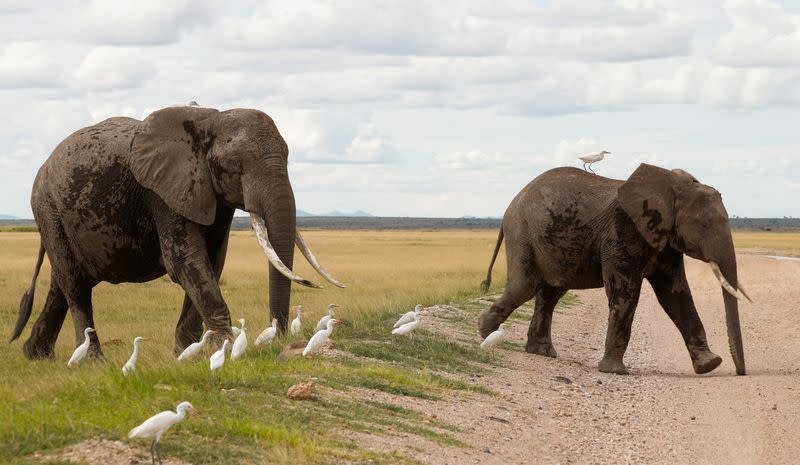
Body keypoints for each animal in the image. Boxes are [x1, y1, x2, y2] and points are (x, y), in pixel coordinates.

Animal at [10, 106, 340, 358]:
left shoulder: (212, 195)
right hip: (47, 206)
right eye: (235, 167)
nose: (280, 336)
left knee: (63, 283)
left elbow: (212, 262)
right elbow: (185, 261)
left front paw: (187, 354)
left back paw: (35, 355)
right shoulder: (163, 193)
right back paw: (92, 361)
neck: (209, 121)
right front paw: (222, 349)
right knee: (75, 284)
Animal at [482, 165, 752, 376]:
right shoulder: (622, 231)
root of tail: (510, 206)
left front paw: (710, 365)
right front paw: (615, 371)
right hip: (523, 233)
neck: (670, 187)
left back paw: (541, 352)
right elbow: (625, 293)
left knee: (550, 293)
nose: (741, 372)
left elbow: (676, 295)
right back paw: (486, 333)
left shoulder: (664, 240)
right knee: (525, 286)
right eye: (704, 225)